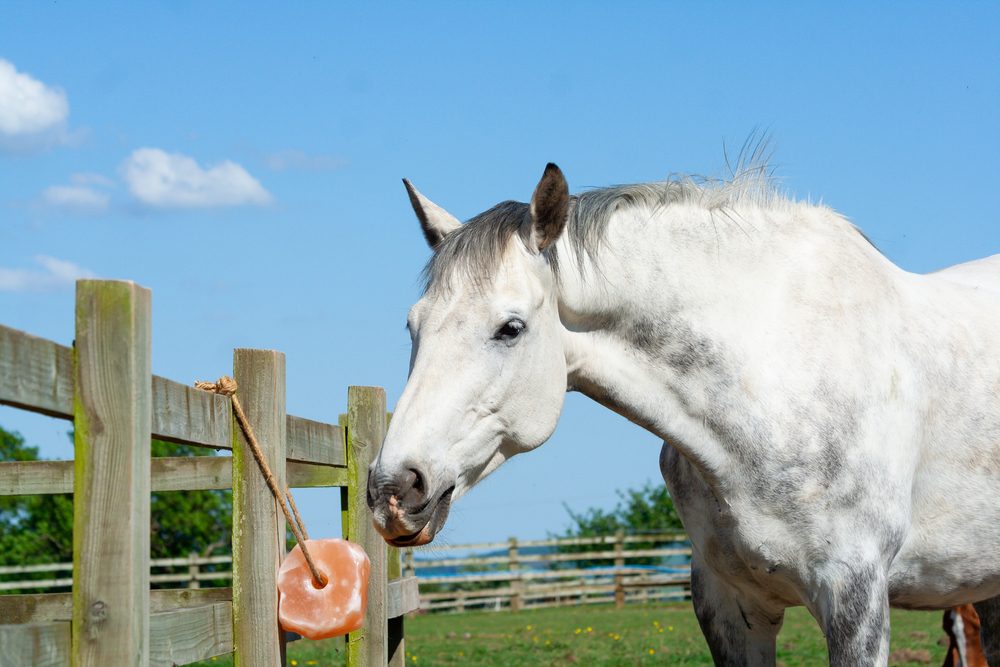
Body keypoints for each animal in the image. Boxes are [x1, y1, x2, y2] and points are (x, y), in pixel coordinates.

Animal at [366, 161, 1000, 665]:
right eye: (412, 326)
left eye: (511, 328)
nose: (393, 490)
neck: (775, 378)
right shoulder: (729, 605)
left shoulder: (856, 599)